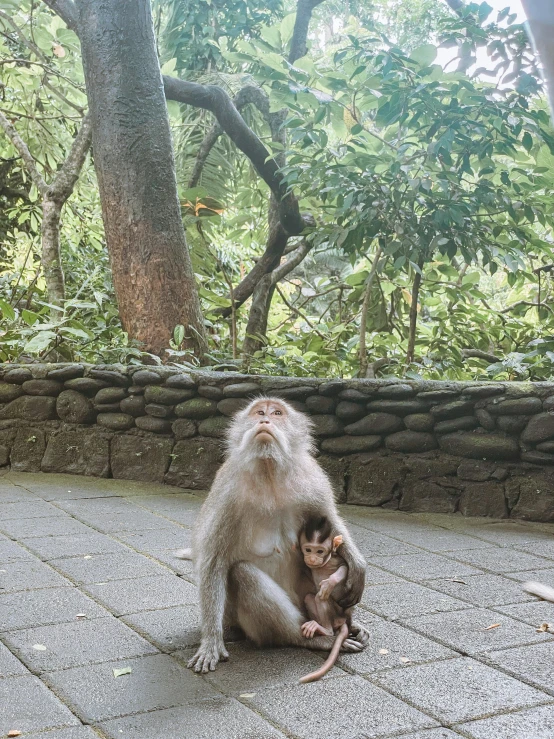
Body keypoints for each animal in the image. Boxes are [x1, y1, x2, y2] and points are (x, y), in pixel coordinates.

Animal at [298, 516, 350, 684]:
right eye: (308, 549)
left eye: (320, 551)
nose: (312, 558)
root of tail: (343, 619)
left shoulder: (335, 559)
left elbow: (345, 568)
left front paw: (329, 583)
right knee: (309, 597)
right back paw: (316, 625)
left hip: (336, 612)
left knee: (320, 598)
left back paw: (324, 629)